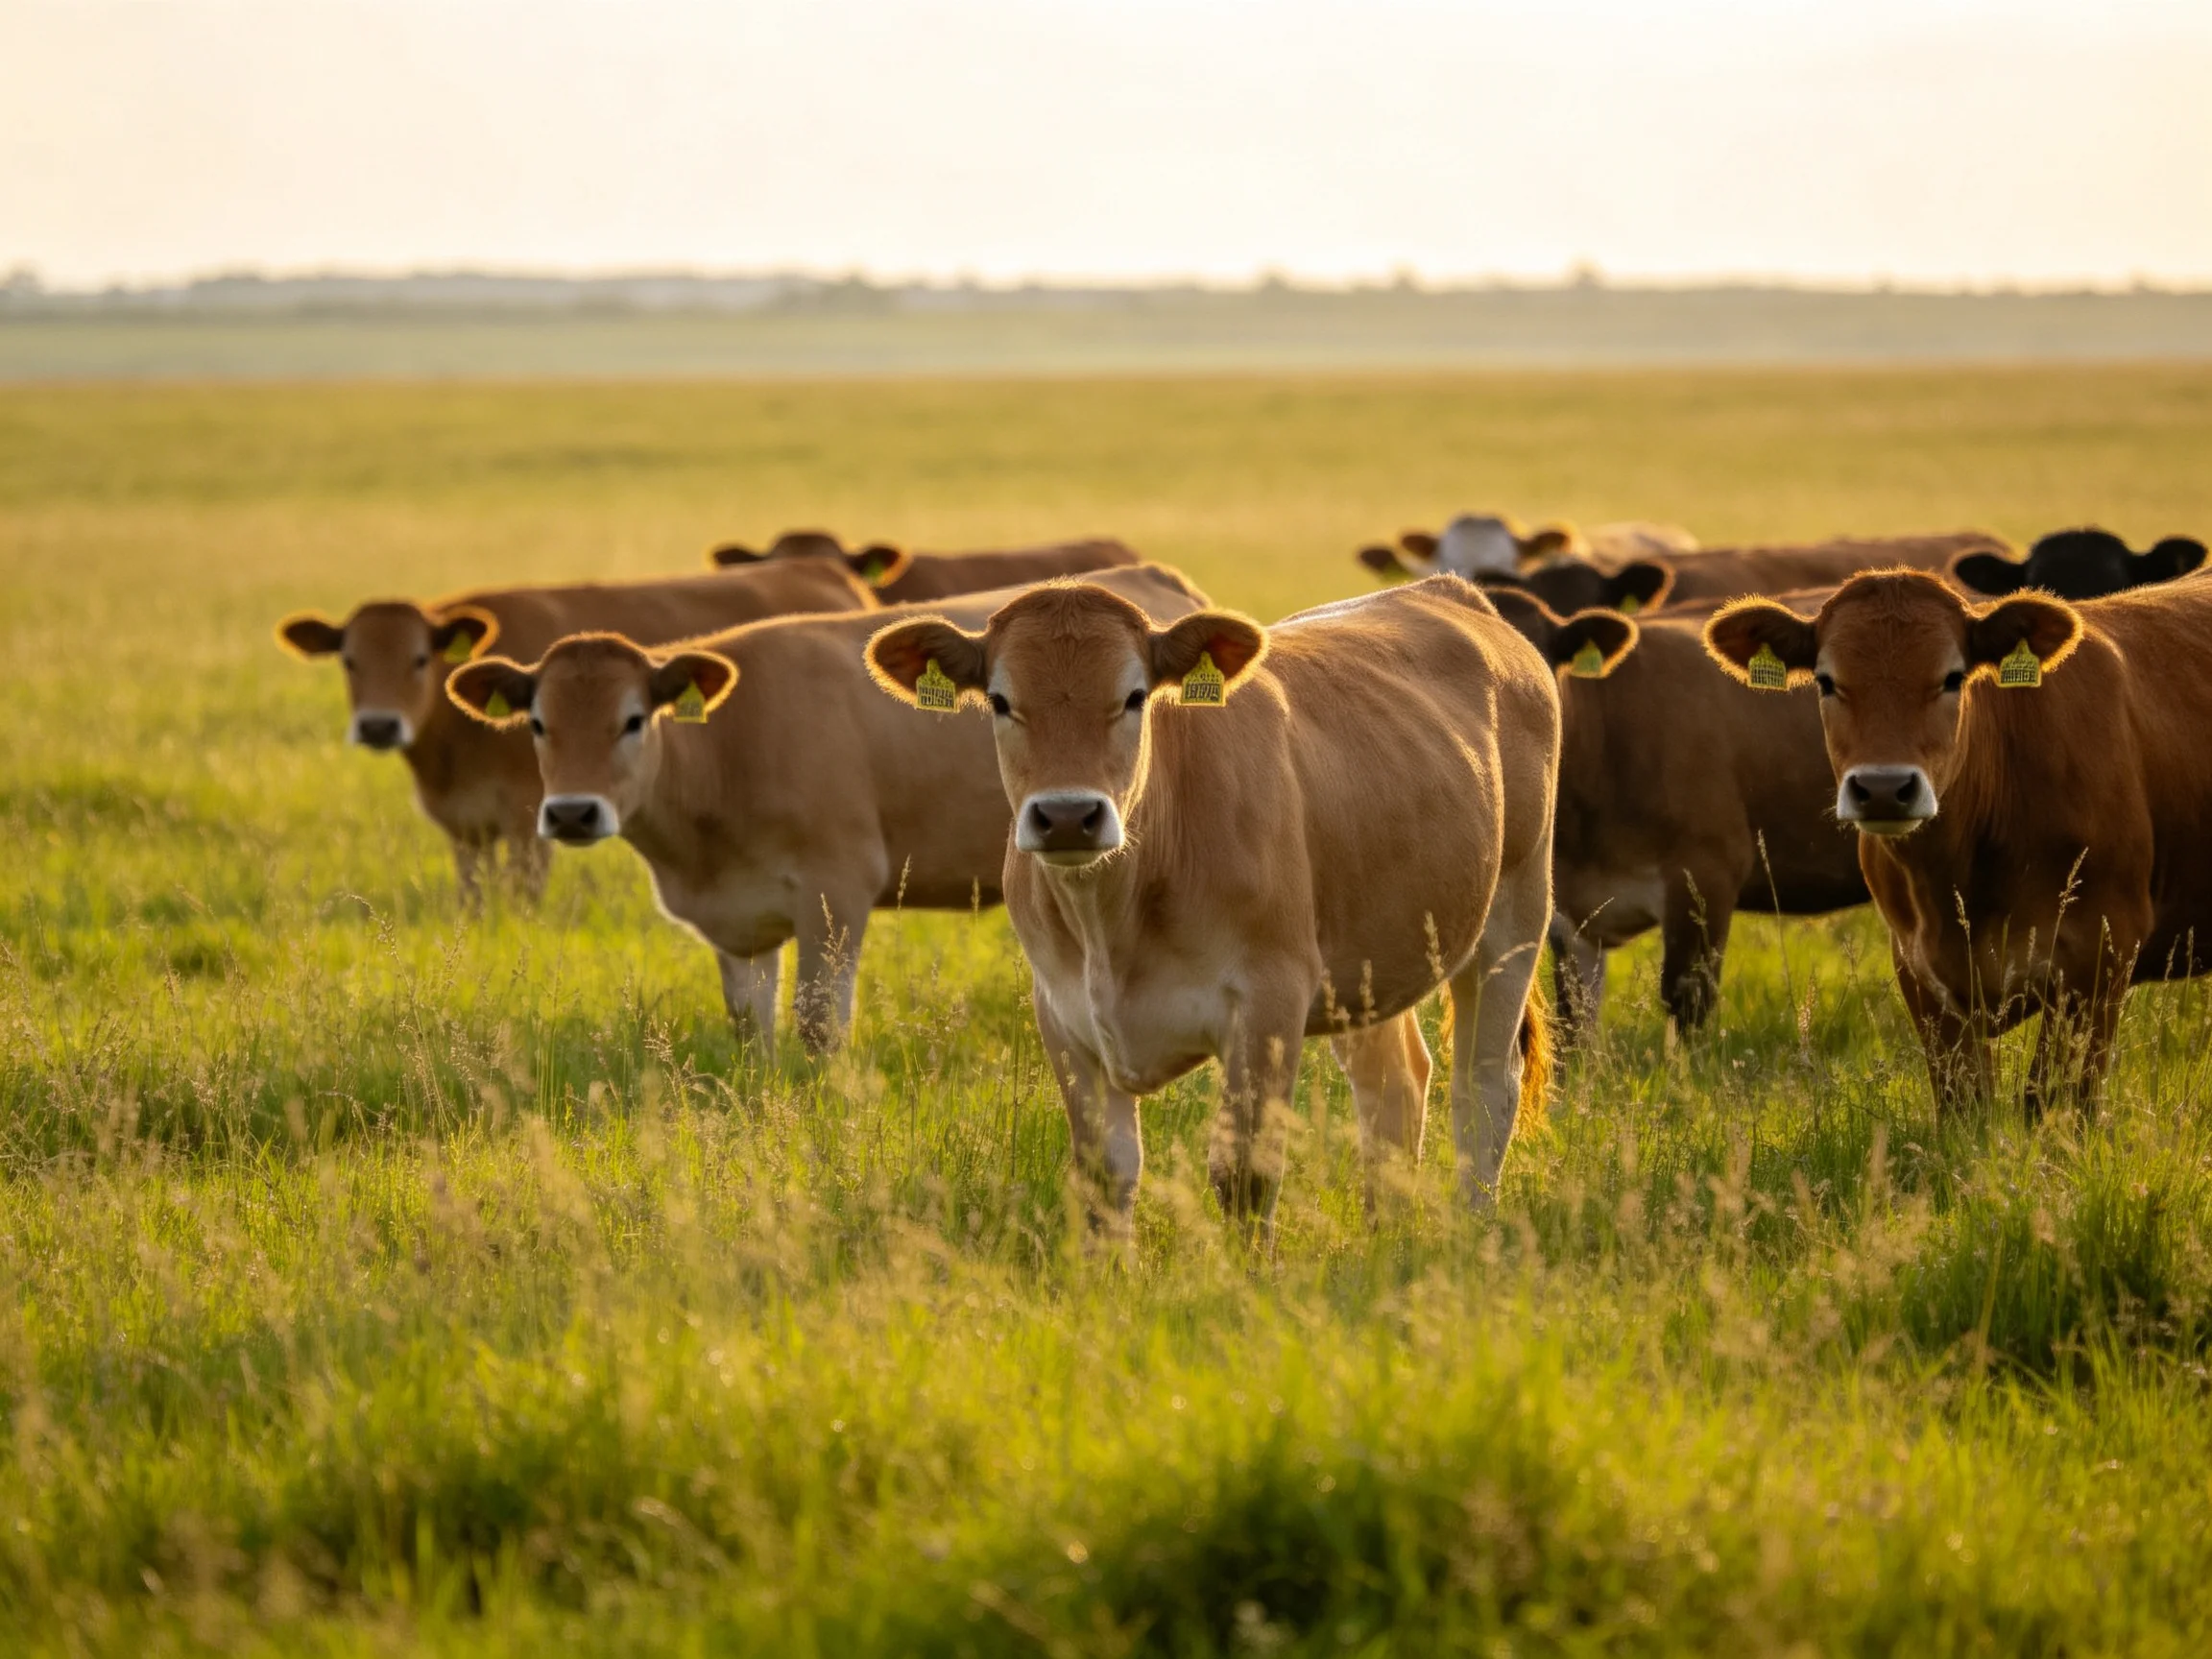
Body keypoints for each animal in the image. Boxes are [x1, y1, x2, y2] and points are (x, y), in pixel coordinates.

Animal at [276, 561, 876, 905]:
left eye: (421, 659)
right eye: (348, 661)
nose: (379, 724)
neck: (449, 757)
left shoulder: (526, 817)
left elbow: (523, 897)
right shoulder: (464, 828)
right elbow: (473, 900)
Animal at [445, 565, 1209, 1053]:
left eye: (633, 721)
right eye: (537, 723)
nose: (573, 814)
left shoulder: (835, 891)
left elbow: (820, 1029)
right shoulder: (741, 923)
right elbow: (750, 1028)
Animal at [866, 575, 1562, 1230]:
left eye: (1135, 696)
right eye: (1001, 701)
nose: (1068, 816)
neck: (1112, 923)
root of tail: (1449, 591)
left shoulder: (1269, 1003)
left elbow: (1245, 1177)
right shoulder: (1063, 1016)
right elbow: (1105, 1179)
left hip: (1514, 915)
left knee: (1483, 1088)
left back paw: (1470, 1227)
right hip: (1370, 963)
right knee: (1393, 1083)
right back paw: (1384, 1234)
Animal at [1704, 569, 2212, 1114]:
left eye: (1952, 677)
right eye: (1826, 681)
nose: (1883, 788)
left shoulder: (2102, 953)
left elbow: (2054, 1102)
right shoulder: (1919, 971)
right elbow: (1964, 1104)